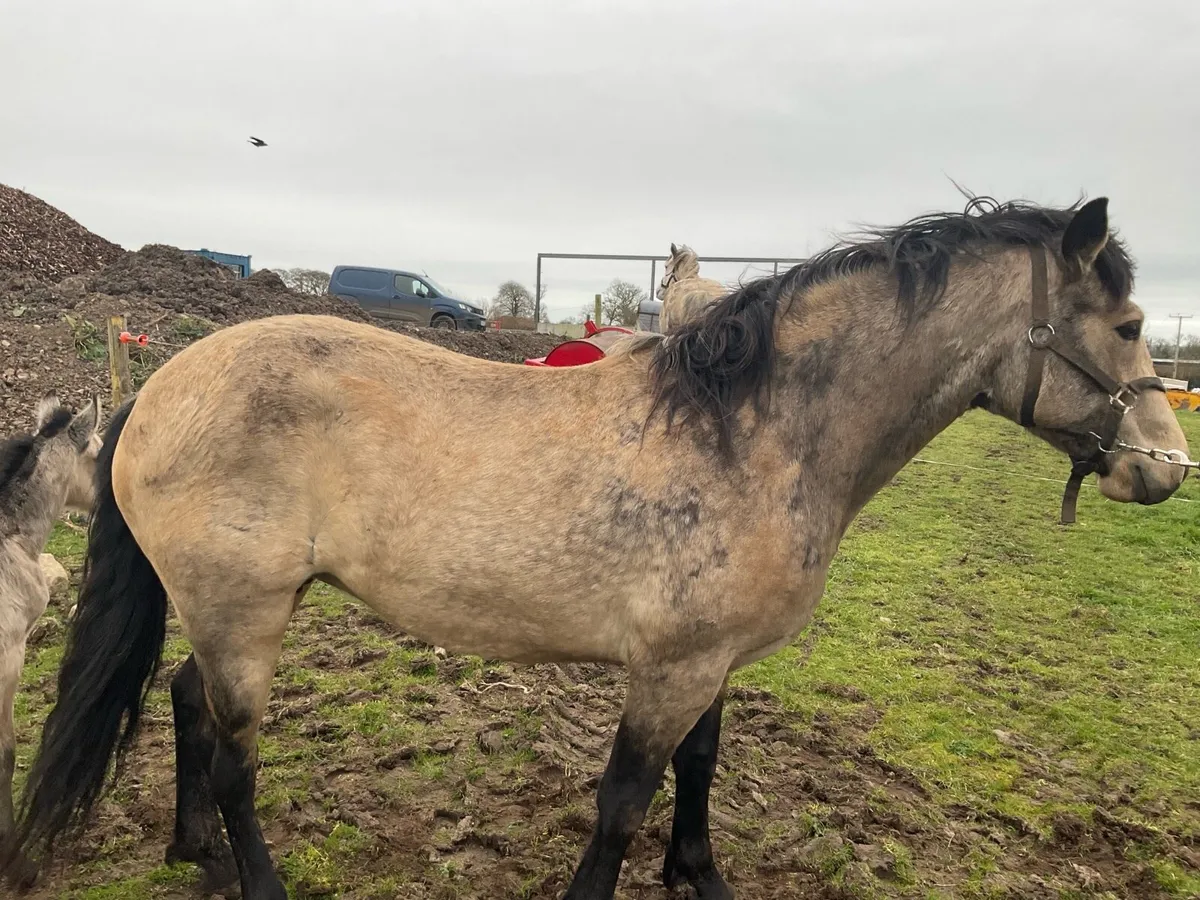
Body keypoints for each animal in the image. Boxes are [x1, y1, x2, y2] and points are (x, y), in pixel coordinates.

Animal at [4, 196, 1188, 900]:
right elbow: (623, 798)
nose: (1167, 470)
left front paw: (700, 877)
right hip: (244, 613)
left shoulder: (707, 663)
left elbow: (699, 770)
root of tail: (161, 386)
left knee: (186, 705)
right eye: (1130, 329)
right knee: (236, 756)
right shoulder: (667, 670)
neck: (751, 431)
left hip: (233, 610)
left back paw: (194, 852)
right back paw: (253, 877)